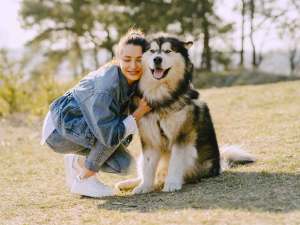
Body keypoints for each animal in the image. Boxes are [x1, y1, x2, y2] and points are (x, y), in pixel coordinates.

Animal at [115, 35, 255, 193]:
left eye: (168, 51)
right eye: (152, 51)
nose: (157, 59)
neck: (162, 98)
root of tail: (219, 164)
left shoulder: (182, 135)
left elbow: (175, 162)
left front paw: (172, 184)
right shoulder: (150, 137)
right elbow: (148, 166)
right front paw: (144, 186)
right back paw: (128, 183)